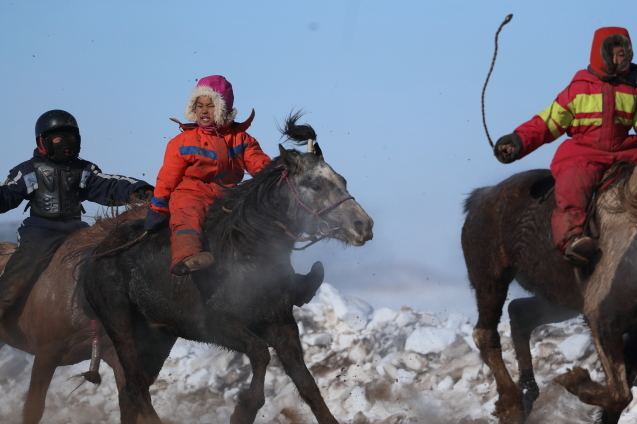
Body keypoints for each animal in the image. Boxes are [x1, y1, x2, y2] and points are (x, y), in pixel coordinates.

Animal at [462, 166, 637, 424]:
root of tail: (481, 197)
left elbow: (618, 398)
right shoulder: (603, 317)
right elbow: (620, 394)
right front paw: (573, 380)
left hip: (560, 300)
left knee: (520, 313)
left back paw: (527, 392)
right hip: (490, 278)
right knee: (485, 333)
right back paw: (511, 405)